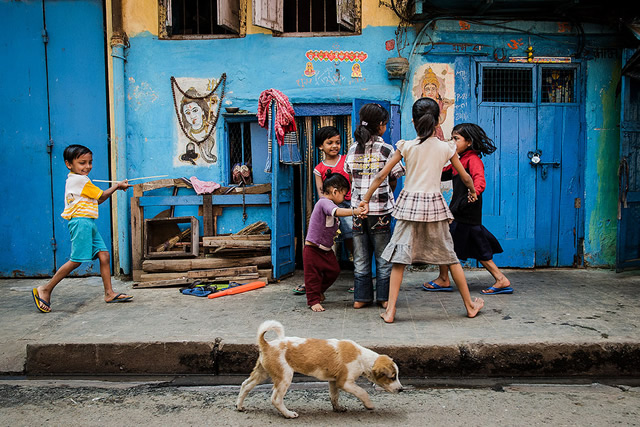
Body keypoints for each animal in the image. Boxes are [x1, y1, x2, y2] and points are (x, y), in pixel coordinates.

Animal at [238, 320, 402, 418]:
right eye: (392, 377)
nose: (401, 390)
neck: (364, 358)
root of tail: (266, 344)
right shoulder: (345, 382)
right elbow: (362, 392)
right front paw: (369, 405)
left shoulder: (333, 381)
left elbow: (334, 396)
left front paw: (338, 408)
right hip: (284, 376)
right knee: (276, 398)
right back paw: (288, 414)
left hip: (262, 373)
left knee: (245, 385)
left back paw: (239, 406)